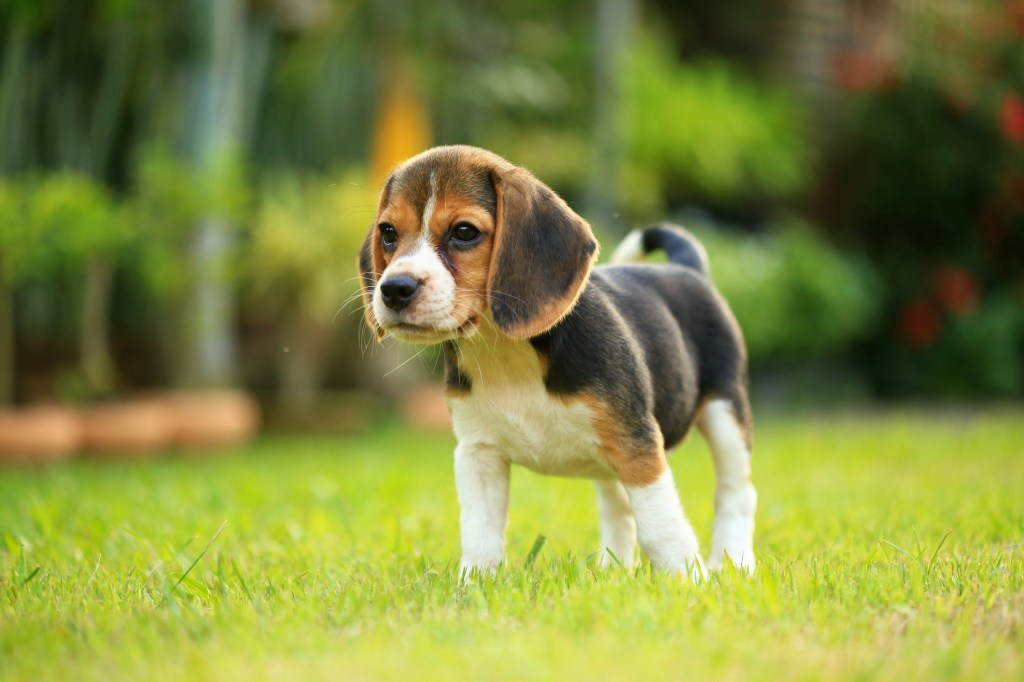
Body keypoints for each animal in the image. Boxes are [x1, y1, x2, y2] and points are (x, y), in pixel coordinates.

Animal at [356, 146, 757, 577]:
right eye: (388, 232)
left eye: (464, 232)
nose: (394, 289)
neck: (503, 350)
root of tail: (685, 268)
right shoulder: (478, 452)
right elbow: (480, 533)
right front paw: (474, 583)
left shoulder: (637, 445)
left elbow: (661, 527)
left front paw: (685, 580)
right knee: (617, 508)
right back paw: (613, 570)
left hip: (724, 413)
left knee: (735, 493)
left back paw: (734, 563)